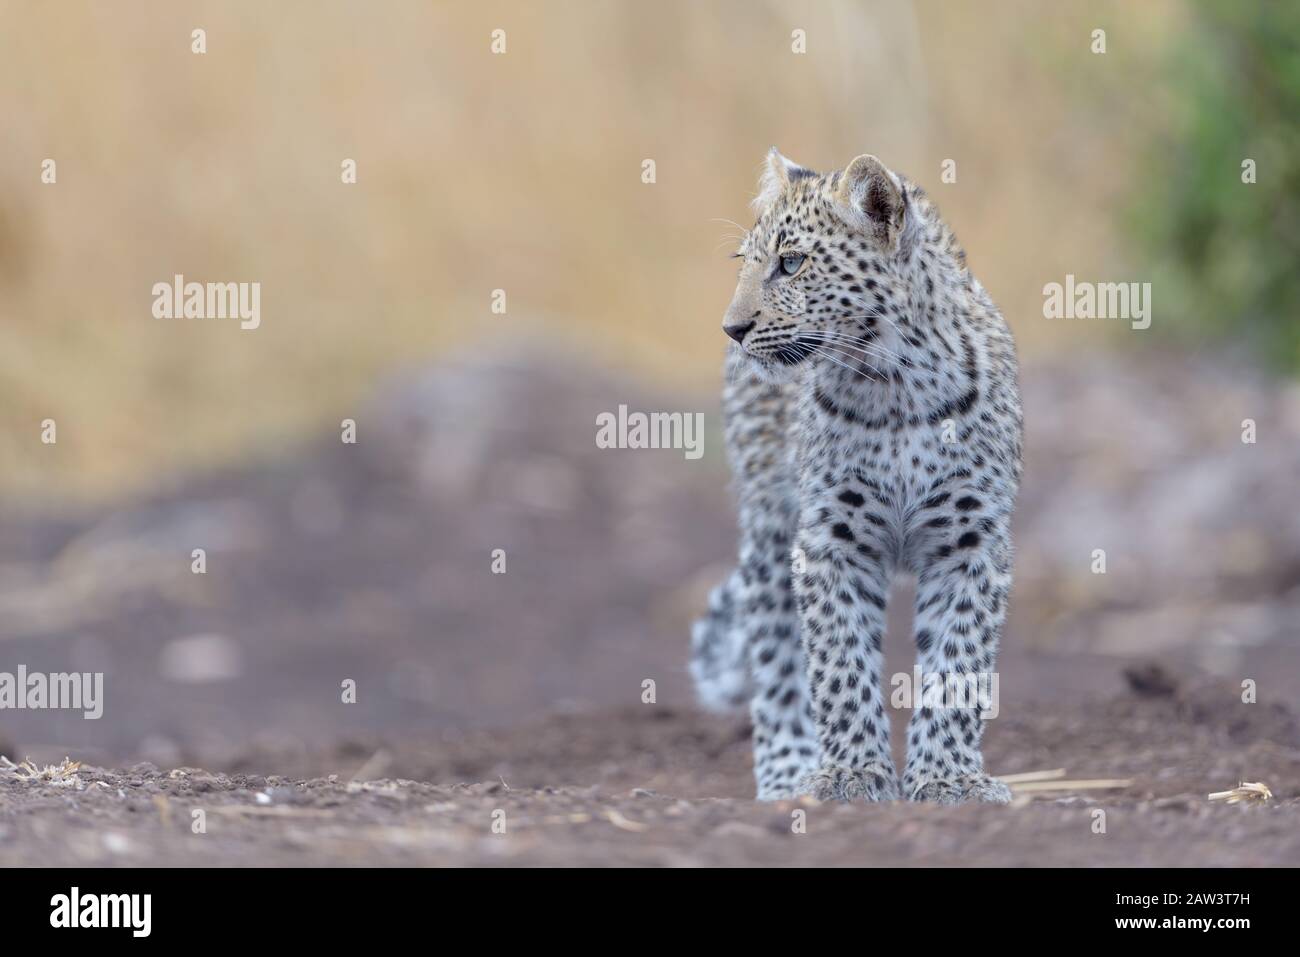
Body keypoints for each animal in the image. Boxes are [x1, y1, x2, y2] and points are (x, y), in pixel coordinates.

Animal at [690, 149, 1022, 804]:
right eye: (746, 265)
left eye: (791, 263)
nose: (731, 330)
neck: (895, 383)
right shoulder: (830, 540)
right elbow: (839, 662)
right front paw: (852, 775)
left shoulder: (971, 540)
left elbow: (959, 662)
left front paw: (948, 779)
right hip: (770, 524)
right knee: (775, 649)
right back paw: (788, 772)